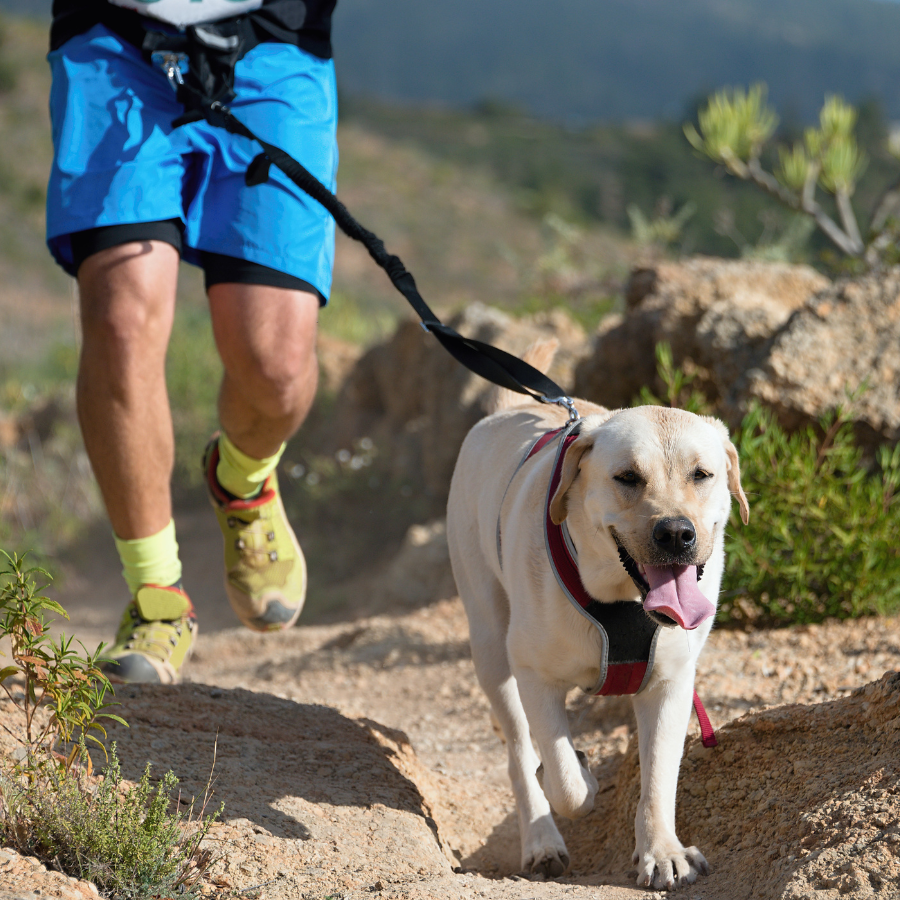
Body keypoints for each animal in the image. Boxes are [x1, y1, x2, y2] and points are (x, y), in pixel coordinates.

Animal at [446, 362, 748, 888]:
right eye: (627, 477)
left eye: (702, 474)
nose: (676, 533)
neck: (623, 601)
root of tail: (507, 410)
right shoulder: (535, 677)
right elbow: (566, 784)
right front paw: (581, 778)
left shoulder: (670, 685)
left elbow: (658, 778)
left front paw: (662, 853)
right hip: (491, 648)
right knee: (520, 754)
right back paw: (541, 840)